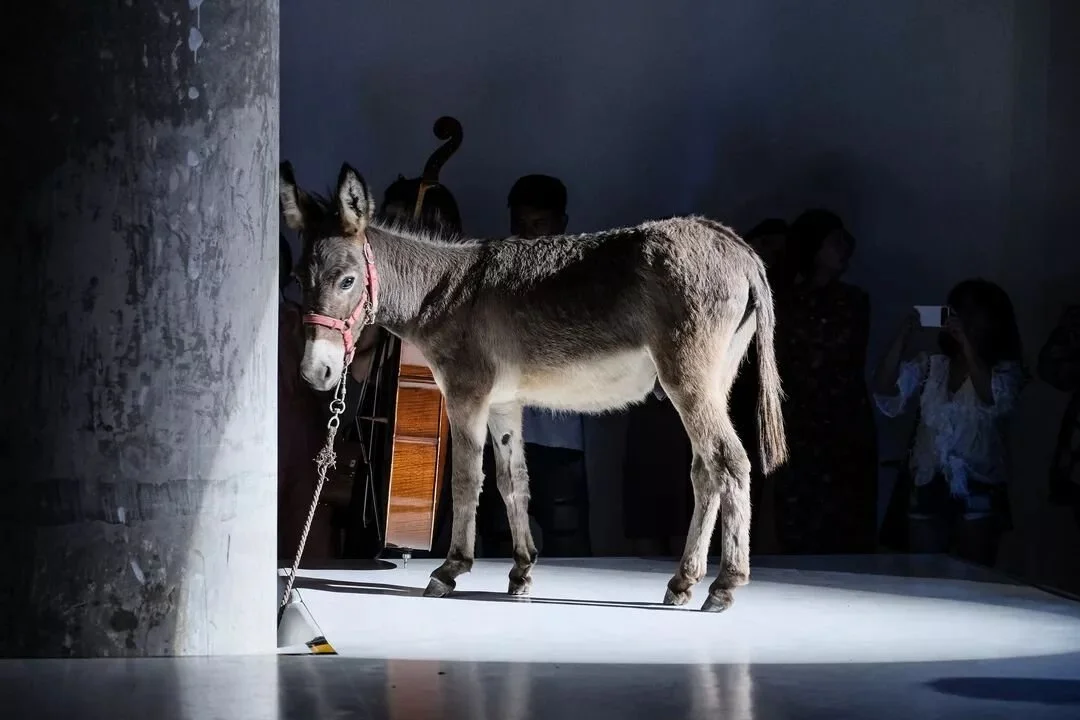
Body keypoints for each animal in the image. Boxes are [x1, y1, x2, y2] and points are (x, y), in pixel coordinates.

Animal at [280, 161, 787, 612]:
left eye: (347, 281)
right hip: (714, 382)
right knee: (705, 472)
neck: (440, 292)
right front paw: (521, 571)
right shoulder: (504, 403)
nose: (314, 373)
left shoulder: (466, 396)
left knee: (730, 463)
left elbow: (467, 479)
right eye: (299, 279)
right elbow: (513, 481)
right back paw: (683, 582)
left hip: (688, 379)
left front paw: (451, 569)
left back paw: (725, 584)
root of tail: (737, 247)